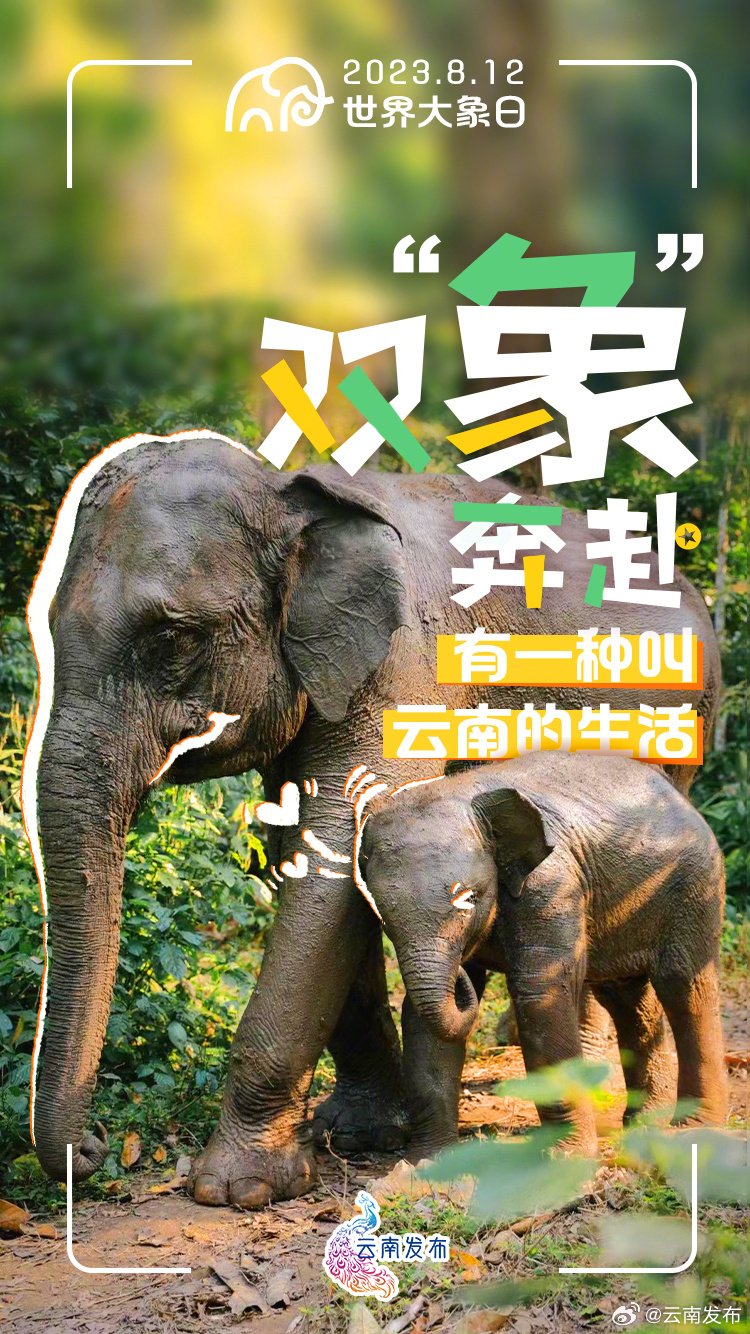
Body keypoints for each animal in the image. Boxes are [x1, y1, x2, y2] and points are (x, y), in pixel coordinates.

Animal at [358, 750, 728, 1157]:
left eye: (471, 898)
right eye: (379, 911)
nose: (460, 974)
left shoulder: (552, 884)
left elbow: (540, 995)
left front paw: (566, 1157)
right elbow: (419, 1017)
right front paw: (427, 1163)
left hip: (693, 883)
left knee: (683, 986)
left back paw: (693, 1129)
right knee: (628, 1000)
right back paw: (644, 1125)